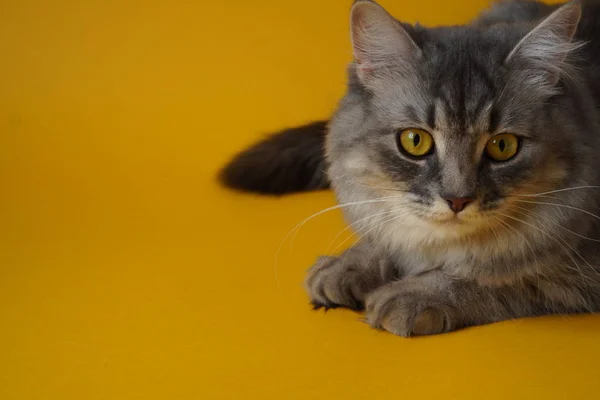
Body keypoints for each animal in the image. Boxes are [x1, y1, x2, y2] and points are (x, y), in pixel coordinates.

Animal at [220, 0, 600, 336]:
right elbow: (386, 234)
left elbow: (499, 276)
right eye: (415, 141)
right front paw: (348, 265)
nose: (458, 200)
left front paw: (413, 295)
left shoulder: (577, 270)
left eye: (502, 146)